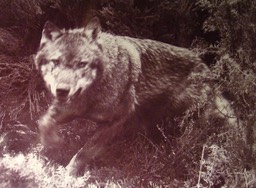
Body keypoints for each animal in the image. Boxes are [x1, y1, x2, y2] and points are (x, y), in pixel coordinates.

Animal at [33, 16, 234, 176]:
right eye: (55, 62)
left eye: (82, 64)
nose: (62, 90)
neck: (93, 92)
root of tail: (208, 72)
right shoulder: (67, 110)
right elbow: (43, 122)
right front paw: (52, 143)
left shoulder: (116, 121)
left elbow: (85, 152)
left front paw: (68, 174)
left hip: (186, 119)